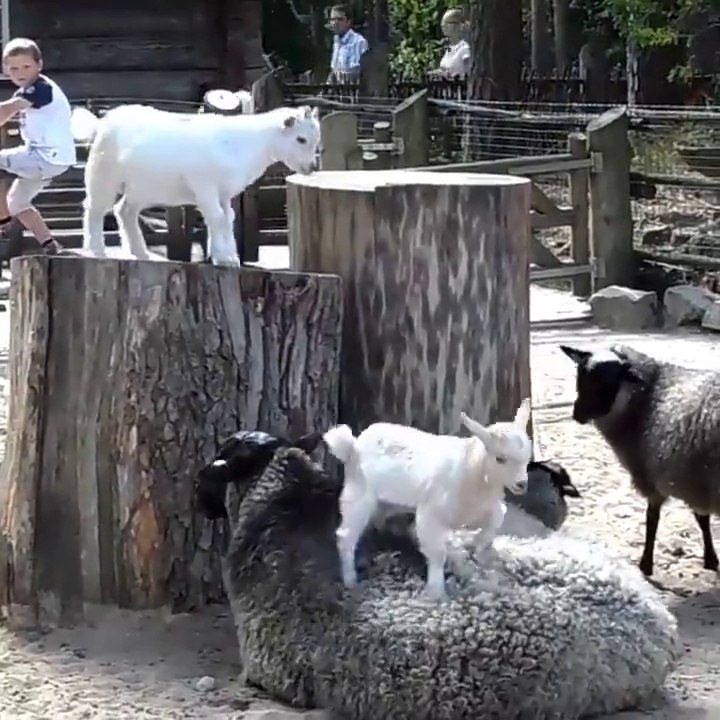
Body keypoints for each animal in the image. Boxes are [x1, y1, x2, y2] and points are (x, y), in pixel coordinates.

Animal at [69, 103, 320, 266]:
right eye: (300, 139)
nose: (312, 167)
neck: (244, 143)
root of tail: (101, 123)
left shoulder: (224, 192)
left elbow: (227, 218)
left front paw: (229, 256)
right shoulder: (205, 185)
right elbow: (217, 218)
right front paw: (224, 259)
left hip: (141, 187)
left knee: (125, 210)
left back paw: (140, 253)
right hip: (103, 173)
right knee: (94, 209)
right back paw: (96, 251)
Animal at [323, 399, 535, 600]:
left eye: (527, 456)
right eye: (500, 458)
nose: (522, 484)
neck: (471, 471)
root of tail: (352, 446)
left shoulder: (487, 509)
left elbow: (495, 522)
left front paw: (479, 549)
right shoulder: (430, 514)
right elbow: (437, 553)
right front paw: (436, 591)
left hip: (386, 503)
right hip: (358, 492)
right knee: (346, 535)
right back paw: (350, 579)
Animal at [561, 342, 720, 577]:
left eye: (608, 381)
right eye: (581, 375)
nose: (578, 414)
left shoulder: (654, 477)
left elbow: (652, 519)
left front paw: (646, 564)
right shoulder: (692, 481)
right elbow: (702, 519)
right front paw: (711, 559)